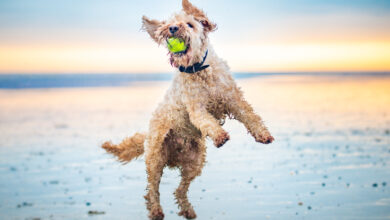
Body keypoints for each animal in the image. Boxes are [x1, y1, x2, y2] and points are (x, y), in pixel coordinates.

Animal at [103, 0, 274, 219]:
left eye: (190, 24)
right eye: (169, 24)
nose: (173, 29)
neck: (200, 69)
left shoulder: (233, 98)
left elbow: (250, 116)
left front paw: (263, 134)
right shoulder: (196, 108)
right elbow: (207, 121)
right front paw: (219, 135)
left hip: (195, 162)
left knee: (179, 190)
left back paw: (187, 210)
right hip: (155, 157)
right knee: (152, 190)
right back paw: (156, 210)